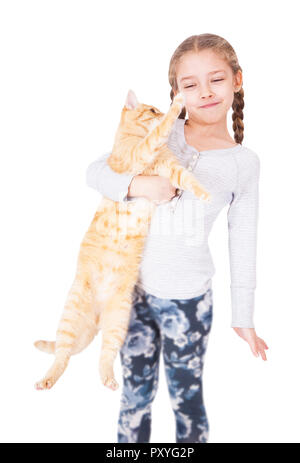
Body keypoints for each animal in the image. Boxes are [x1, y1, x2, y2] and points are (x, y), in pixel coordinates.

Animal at [34, 89, 211, 392]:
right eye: (151, 110)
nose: (161, 109)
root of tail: (98, 318)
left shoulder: (170, 167)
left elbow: (187, 178)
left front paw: (204, 193)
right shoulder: (139, 155)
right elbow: (157, 135)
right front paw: (176, 106)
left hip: (118, 321)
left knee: (103, 356)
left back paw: (109, 380)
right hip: (71, 315)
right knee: (62, 354)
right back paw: (47, 378)